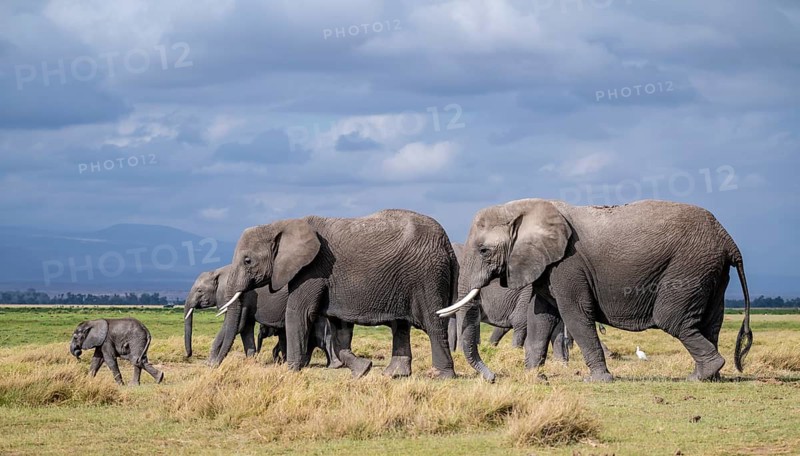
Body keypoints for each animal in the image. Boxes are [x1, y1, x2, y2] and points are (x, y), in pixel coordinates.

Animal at [184, 265, 341, 368]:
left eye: (199, 291)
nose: (188, 355)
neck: (218, 271)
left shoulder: (244, 297)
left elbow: (238, 325)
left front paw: (210, 363)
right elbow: (245, 327)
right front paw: (250, 362)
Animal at [218, 209, 458, 379]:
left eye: (247, 261)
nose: (214, 366)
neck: (281, 224)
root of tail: (447, 243)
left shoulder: (312, 269)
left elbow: (299, 313)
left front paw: (290, 372)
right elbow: (338, 330)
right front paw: (363, 370)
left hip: (426, 276)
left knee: (433, 323)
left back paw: (441, 376)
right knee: (400, 326)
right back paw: (393, 374)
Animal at [438, 199, 752, 382]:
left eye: (484, 250)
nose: (493, 379)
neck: (527, 208)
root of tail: (729, 240)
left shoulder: (568, 263)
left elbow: (574, 313)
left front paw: (597, 380)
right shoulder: (548, 266)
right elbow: (541, 317)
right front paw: (533, 376)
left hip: (688, 268)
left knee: (673, 319)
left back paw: (702, 375)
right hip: (711, 271)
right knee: (710, 321)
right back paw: (707, 376)